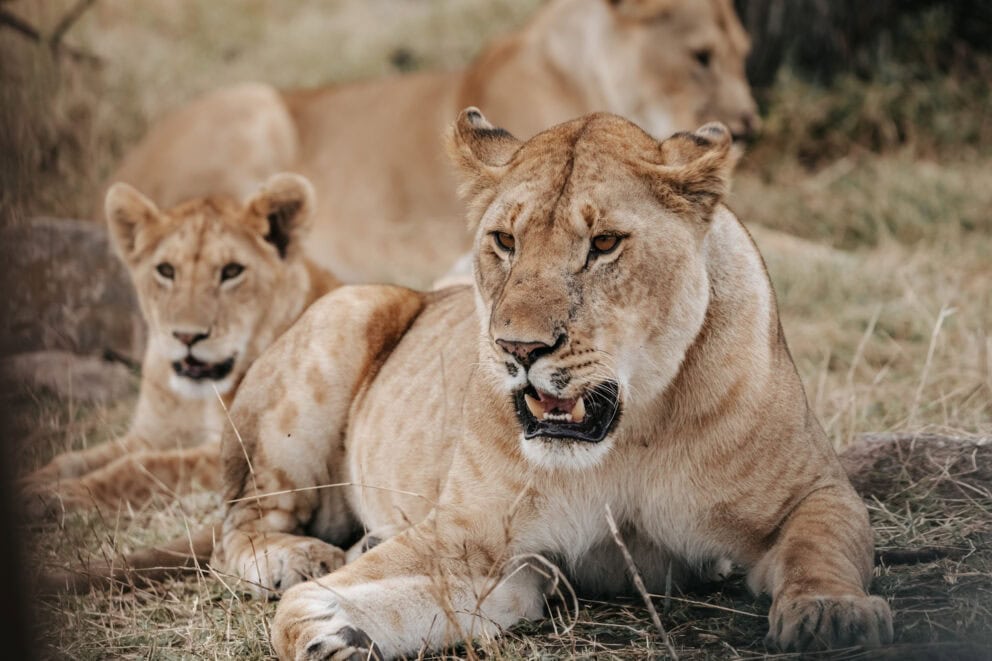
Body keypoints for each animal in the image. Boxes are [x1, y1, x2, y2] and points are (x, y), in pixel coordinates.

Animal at [20, 173, 339, 522]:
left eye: (231, 271)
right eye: (166, 270)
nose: (187, 336)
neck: (195, 400)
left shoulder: (235, 451)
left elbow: (146, 468)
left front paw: (63, 494)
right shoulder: (149, 435)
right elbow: (76, 458)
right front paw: (35, 480)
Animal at [209, 109, 892, 658]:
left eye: (605, 243)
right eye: (504, 240)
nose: (519, 349)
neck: (630, 433)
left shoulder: (815, 490)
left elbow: (821, 544)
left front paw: (830, 613)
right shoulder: (478, 541)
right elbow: (302, 607)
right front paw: (323, 624)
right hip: (343, 320)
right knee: (236, 527)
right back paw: (300, 556)